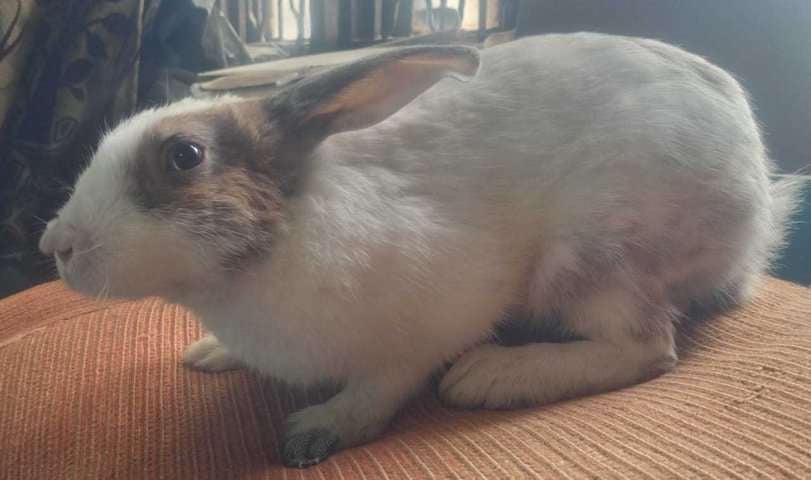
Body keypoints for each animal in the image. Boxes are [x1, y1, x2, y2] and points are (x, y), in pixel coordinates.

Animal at [39, 32, 801, 468]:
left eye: (184, 157)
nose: (56, 244)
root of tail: (756, 219)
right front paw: (210, 353)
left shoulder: (432, 316)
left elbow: (385, 383)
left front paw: (321, 429)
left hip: (591, 260)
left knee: (646, 348)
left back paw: (490, 378)